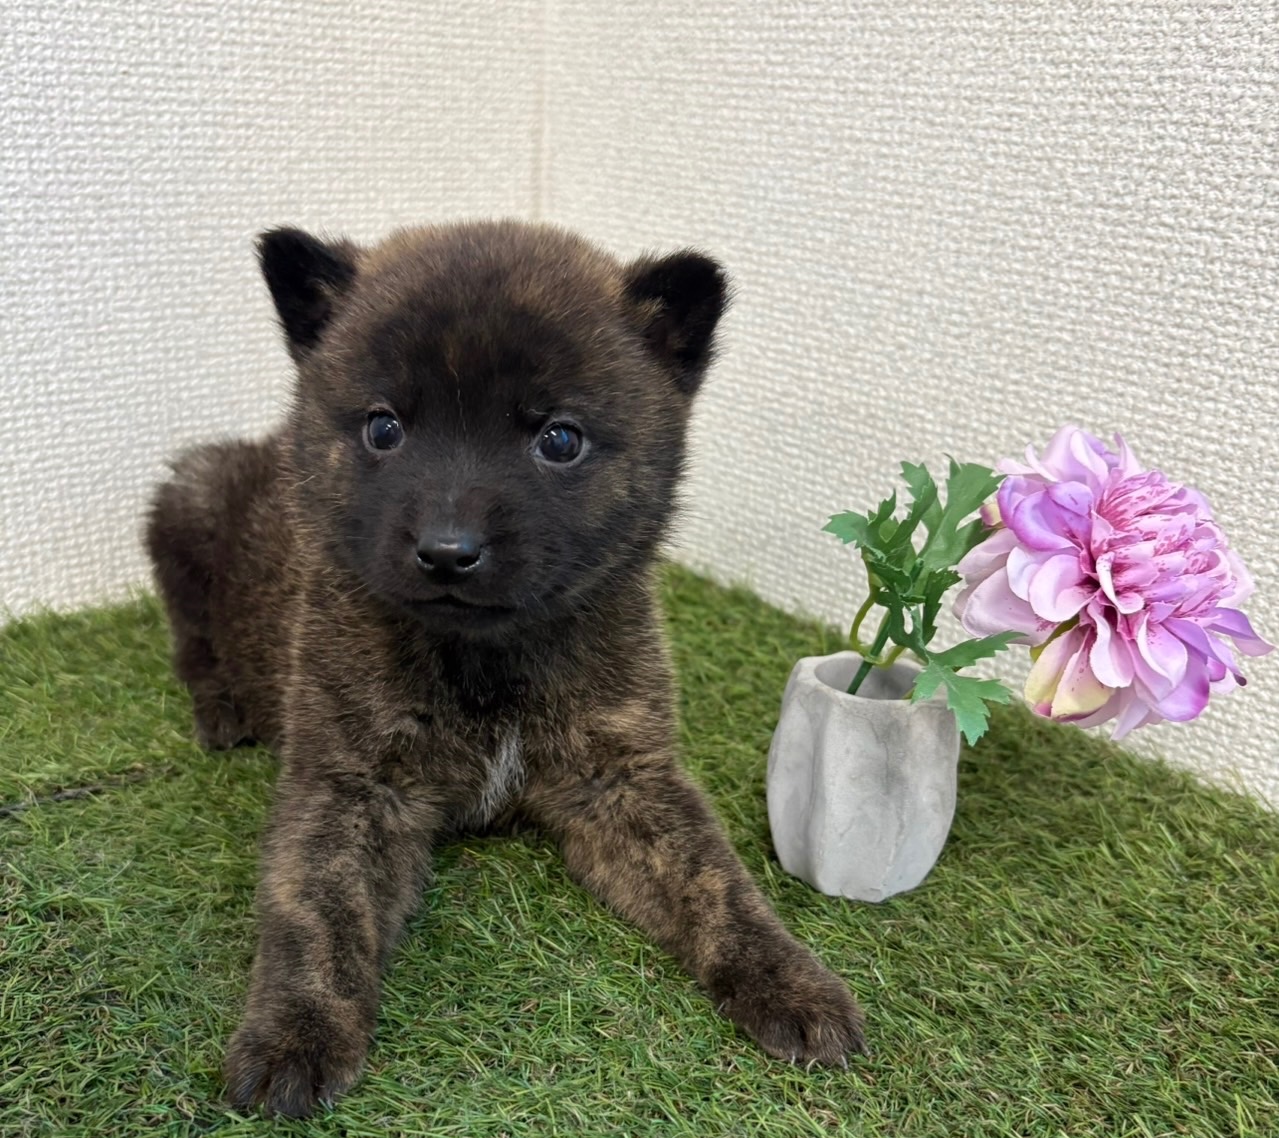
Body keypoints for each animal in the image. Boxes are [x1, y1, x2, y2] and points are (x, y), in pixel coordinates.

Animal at [145, 220, 865, 1117]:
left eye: (558, 439)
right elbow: (314, 911)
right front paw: (295, 1034)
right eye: (383, 428)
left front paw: (791, 982)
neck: (489, 661)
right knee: (190, 634)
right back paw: (222, 709)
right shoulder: (349, 785)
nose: (447, 552)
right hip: (189, 498)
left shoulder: (623, 778)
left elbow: (717, 882)